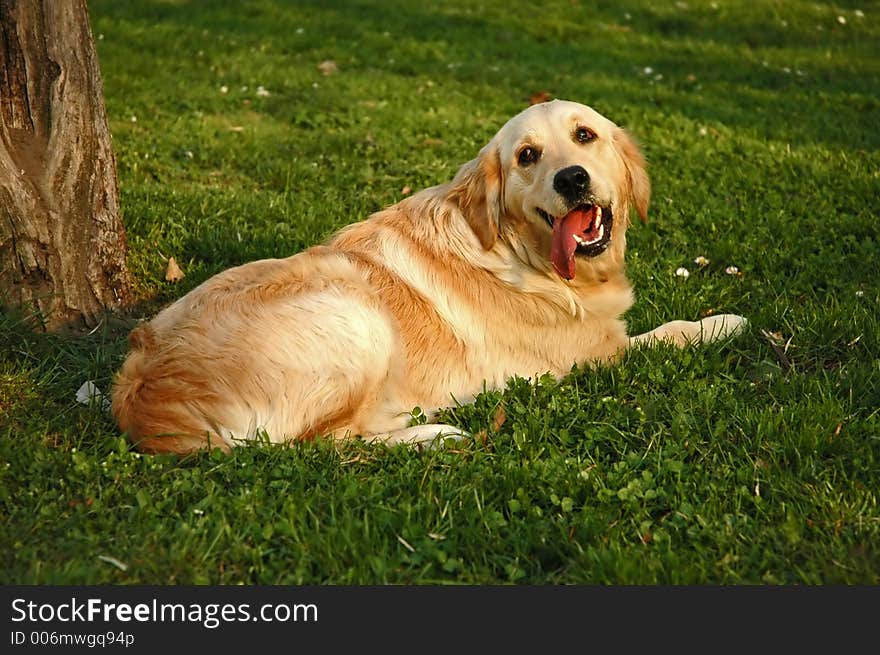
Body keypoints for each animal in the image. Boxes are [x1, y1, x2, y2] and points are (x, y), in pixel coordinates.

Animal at [108, 100, 744, 454]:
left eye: (584, 136)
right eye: (528, 156)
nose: (572, 179)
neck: (519, 251)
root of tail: (139, 390)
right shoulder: (593, 354)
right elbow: (666, 334)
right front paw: (724, 321)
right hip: (356, 317)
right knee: (322, 445)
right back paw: (434, 434)